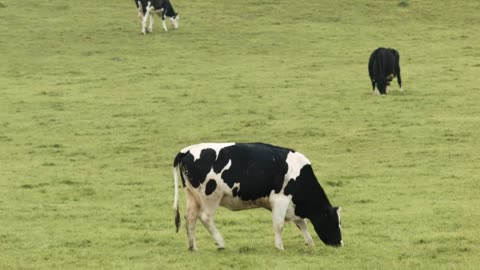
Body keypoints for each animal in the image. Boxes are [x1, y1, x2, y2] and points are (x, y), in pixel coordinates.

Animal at [172, 142, 342, 250]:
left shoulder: (291, 205)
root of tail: (187, 150)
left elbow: (301, 223)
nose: (340, 243)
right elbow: (279, 224)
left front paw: (309, 243)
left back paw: (193, 247)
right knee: (205, 217)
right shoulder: (280, 199)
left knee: (190, 218)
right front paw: (280, 246)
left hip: (192, 196)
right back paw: (220, 243)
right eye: (335, 222)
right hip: (211, 196)